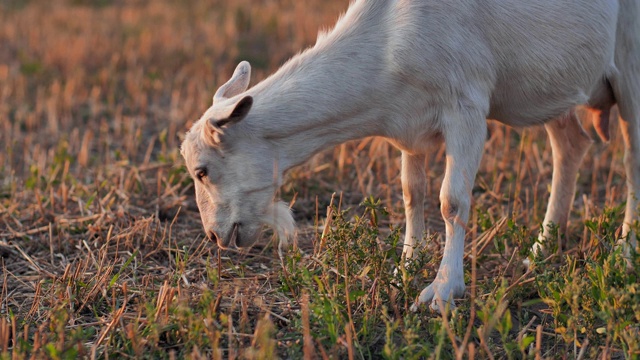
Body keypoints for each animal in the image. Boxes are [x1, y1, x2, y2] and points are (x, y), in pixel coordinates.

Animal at [180, 0, 640, 310]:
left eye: (202, 171)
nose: (215, 237)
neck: (389, 39)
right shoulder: (407, 125)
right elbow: (410, 192)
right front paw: (405, 267)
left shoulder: (466, 107)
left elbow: (451, 201)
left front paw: (442, 291)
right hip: (555, 85)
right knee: (570, 145)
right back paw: (542, 248)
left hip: (631, 68)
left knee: (632, 158)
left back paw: (625, 251)